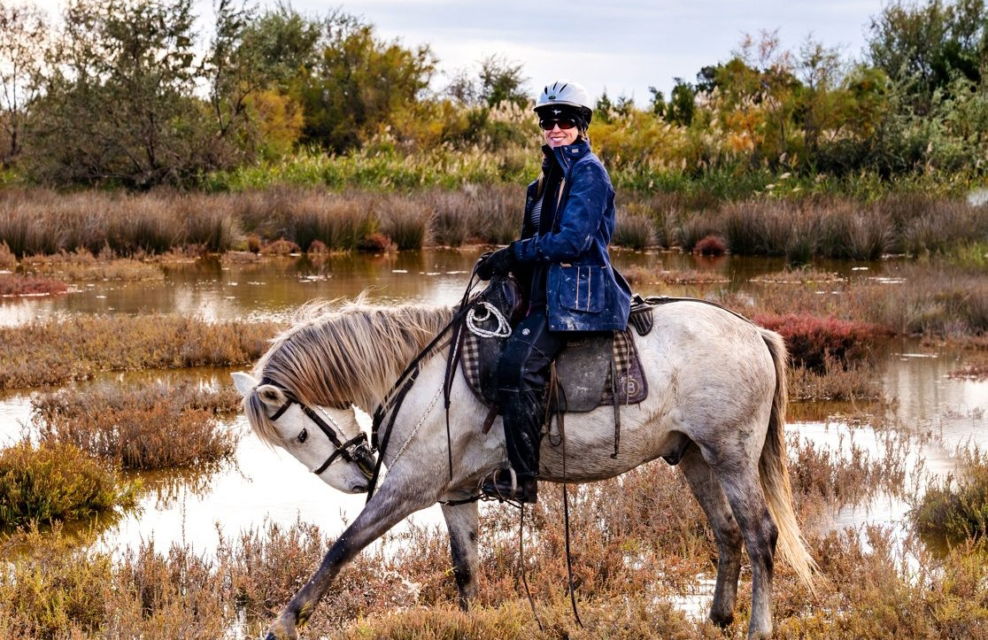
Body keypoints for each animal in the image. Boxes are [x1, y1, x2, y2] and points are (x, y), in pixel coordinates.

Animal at [232, 298, 815, 640]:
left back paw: (757, 628)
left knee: (760, 535)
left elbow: (341, 549)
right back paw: (718, 616)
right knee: (727, 533)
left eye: (299, 435)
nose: (358, 479)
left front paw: (286, 621)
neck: (424, 376)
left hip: (731, 455)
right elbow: (465, 568)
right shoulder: (456, 493)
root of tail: (753, 331)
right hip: (695, 456)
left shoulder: (407, 489)